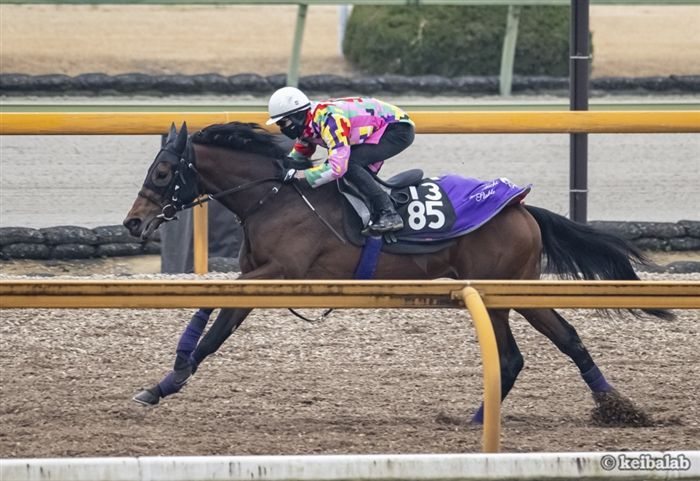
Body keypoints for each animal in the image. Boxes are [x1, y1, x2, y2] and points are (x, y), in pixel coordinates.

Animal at [123, 121, 671, 426]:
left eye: (163, 172)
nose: (132, 222)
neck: (274, 195)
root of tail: (522, 207)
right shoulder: (260, 275)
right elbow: (215, 324)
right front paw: (166, 382)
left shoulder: (279, 271)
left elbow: (214, 311)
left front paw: (173, 371)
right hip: (514, 289)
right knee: (562, 339)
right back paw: (605, 407)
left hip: (500, 290)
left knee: (515, 356)